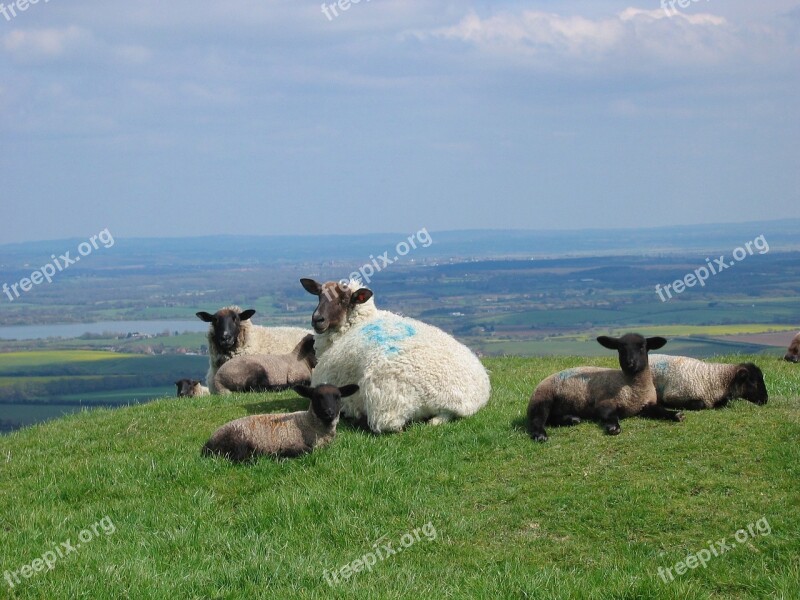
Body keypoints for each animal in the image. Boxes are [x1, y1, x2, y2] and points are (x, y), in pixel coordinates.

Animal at [202, 382, 358, 462]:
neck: (309, 424)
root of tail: (207, 445)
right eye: (316, 397)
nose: (329, 412)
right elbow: (307, 451)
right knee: (239, 458)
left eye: (338, 396)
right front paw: (282, 456)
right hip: (238, 443)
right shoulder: (293, 444)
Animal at [298, 278, 490, 434]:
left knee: (390, 426)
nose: (317, 319)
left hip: (386, 403)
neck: (356, 324)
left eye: (344, 300)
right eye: (319, 295)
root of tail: (454, 403)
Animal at [524, 332, 680, 440]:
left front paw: (676, 414)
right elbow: (610, 415)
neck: (630, 386)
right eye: (620, 349)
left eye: (642, 347)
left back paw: (572, 419)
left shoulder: (646, 404)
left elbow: (660, 410)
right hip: (542, 399)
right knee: (537, 419)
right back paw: (540, 435)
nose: (630, 363)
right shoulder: (604, 402)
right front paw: (613, 427)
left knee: (551, 419)